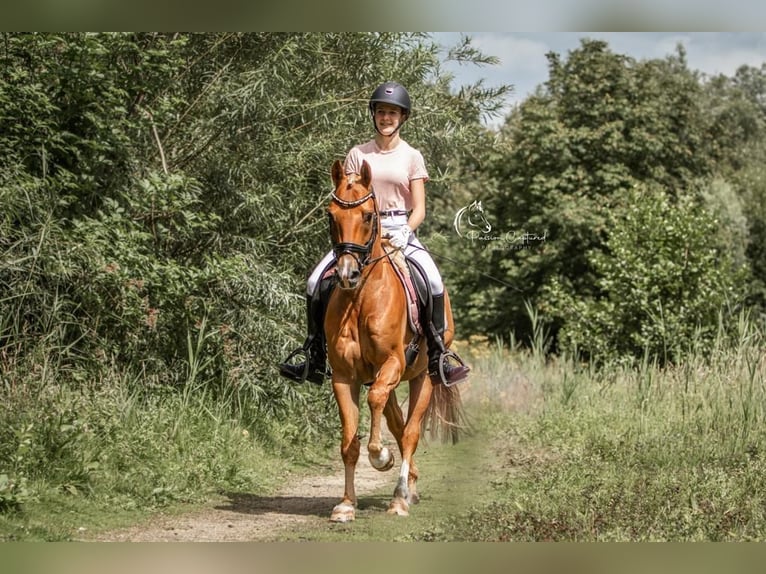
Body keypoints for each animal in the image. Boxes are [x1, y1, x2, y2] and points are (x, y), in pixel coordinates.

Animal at [326, 160, 468, 524]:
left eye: (368, 216)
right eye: (331, 215)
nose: (347, 275)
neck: (361, 299)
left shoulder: (392, 362)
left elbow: (381, 411)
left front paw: (381, 457)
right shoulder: (344, 376)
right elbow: (349, 442)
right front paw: (346, 504)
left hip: (423, 376)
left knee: (410, 431)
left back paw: (401, 496)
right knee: (397, 422)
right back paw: (409, 485)